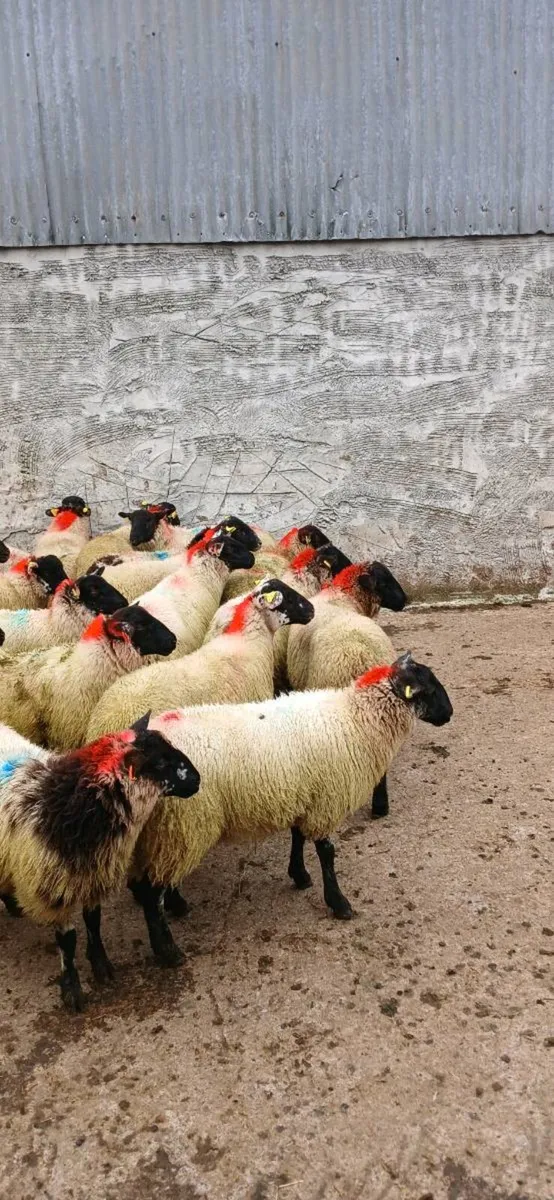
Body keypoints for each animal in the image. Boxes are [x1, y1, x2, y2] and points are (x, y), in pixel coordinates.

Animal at [0, 712, 200, 1010]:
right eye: (161, 763)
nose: (198, 779)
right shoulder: (55, 885)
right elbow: (67, 941)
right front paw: (72, 990)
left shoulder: (94, 874)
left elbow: (94, 921)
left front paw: (100, 963)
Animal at [130, 653, 452, 963]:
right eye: (429, 689)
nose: (449, 714)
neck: (356, 718)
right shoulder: (326, 801)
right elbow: (327, 853)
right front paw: (338, 903)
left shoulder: (305, 795)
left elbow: (298, 836)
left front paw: (299, 875)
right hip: (184, 823)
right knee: (151, 892)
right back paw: (167, 951)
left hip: (170, 832)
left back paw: (178, 905)